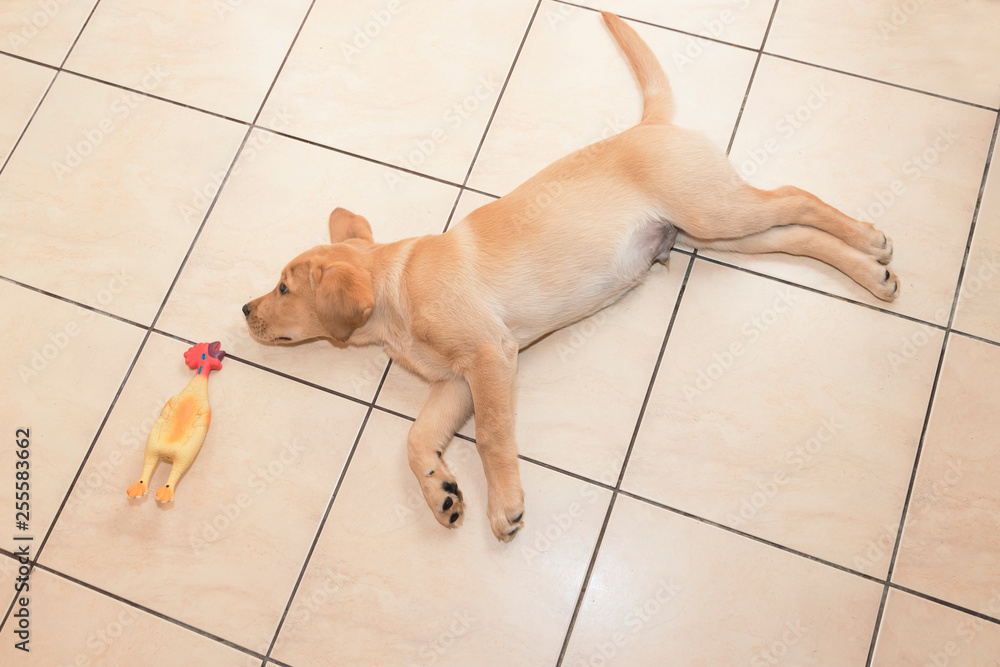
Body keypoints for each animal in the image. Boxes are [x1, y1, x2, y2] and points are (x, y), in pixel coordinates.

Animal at [244, 11, 900, 544]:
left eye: (283, 288)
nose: (246, 312)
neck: (396, 288)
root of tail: (649, 125)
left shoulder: (490, 356)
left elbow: (491, 436)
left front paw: (503, 505)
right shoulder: (456, 384)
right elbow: (413, 438)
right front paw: (441, 490)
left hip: (715, 211)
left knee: (795, 197)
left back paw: (871, 238)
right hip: (721, 231)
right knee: (799, 234)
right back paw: (873, 273)